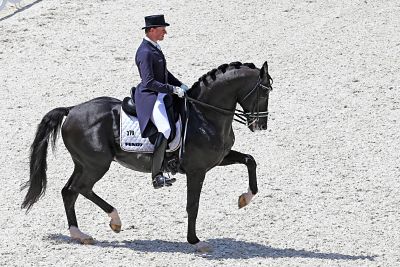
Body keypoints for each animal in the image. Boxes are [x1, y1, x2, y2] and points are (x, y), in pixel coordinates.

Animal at [21, 61, 272, 253]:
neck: (205, 114)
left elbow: (250, 160)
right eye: (265, 91)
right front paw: (195, 241)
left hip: (83, 164)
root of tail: (71, 110)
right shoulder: (196, 170)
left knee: (68, 192)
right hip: (96, 165)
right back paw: (114, 221)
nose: (260, 125)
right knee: (80, 189)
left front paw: (245, 198)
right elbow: (193, 205)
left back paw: (79, 234)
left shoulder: (220, 158)